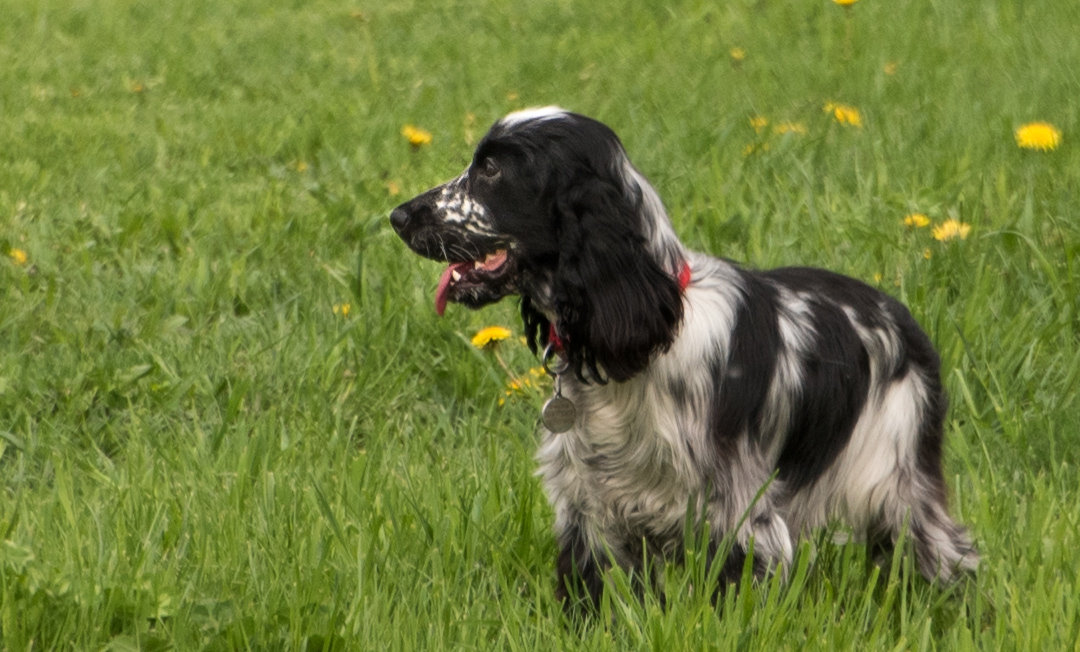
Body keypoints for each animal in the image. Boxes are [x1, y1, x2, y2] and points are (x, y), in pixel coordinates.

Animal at [390, 106, 980, 604]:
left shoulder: (741, 519)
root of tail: (900, 315)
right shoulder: (590, 508)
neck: (640, 346)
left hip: (901, 487)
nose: (397, 216)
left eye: (491, 170)